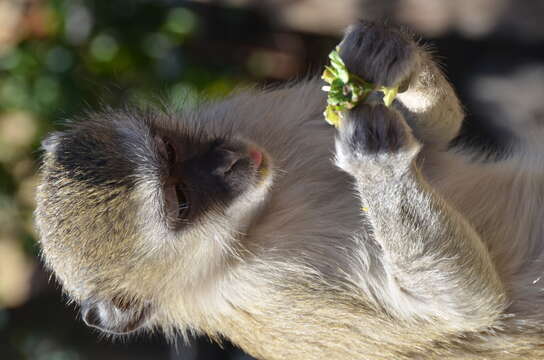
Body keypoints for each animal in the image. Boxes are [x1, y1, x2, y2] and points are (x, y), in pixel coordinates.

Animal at [35, 21, 544, 358]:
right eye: (181, 201)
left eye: (169, 149)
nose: (229, 161)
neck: (252, 221)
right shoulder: (268, 285)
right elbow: (468, 307)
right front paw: (378, 164)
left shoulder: (239, 117)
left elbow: (433, 136)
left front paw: (385, 59)